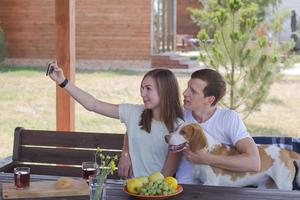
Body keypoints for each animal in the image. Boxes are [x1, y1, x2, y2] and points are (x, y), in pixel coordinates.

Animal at [168, 122, 298, 190]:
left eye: (183, 133)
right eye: (176, 129)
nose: (166, 137)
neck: (207, 151)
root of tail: (286, 151)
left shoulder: (210, 182)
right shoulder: (199, 182)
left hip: (283, 184)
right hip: (266, 186)